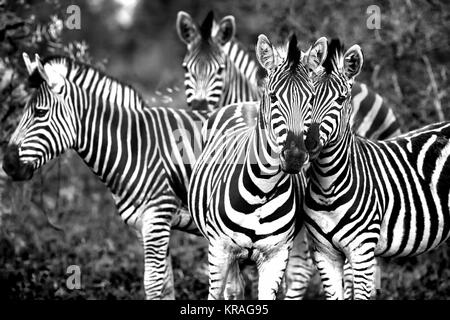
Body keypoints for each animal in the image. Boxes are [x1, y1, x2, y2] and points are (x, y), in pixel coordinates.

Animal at [186, 33, 326, 298]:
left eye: (312, 98)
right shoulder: (219, 251)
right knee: (233, 289)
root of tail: (245, 103)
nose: (294, 157)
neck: (262, 188)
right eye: (273, 97)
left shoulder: (277, 255)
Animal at [302, 37, 450, 300]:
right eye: (308, 96)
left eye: (341, 100)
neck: (328, 185)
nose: (310, 144)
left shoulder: (362, 252)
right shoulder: (324, 253)